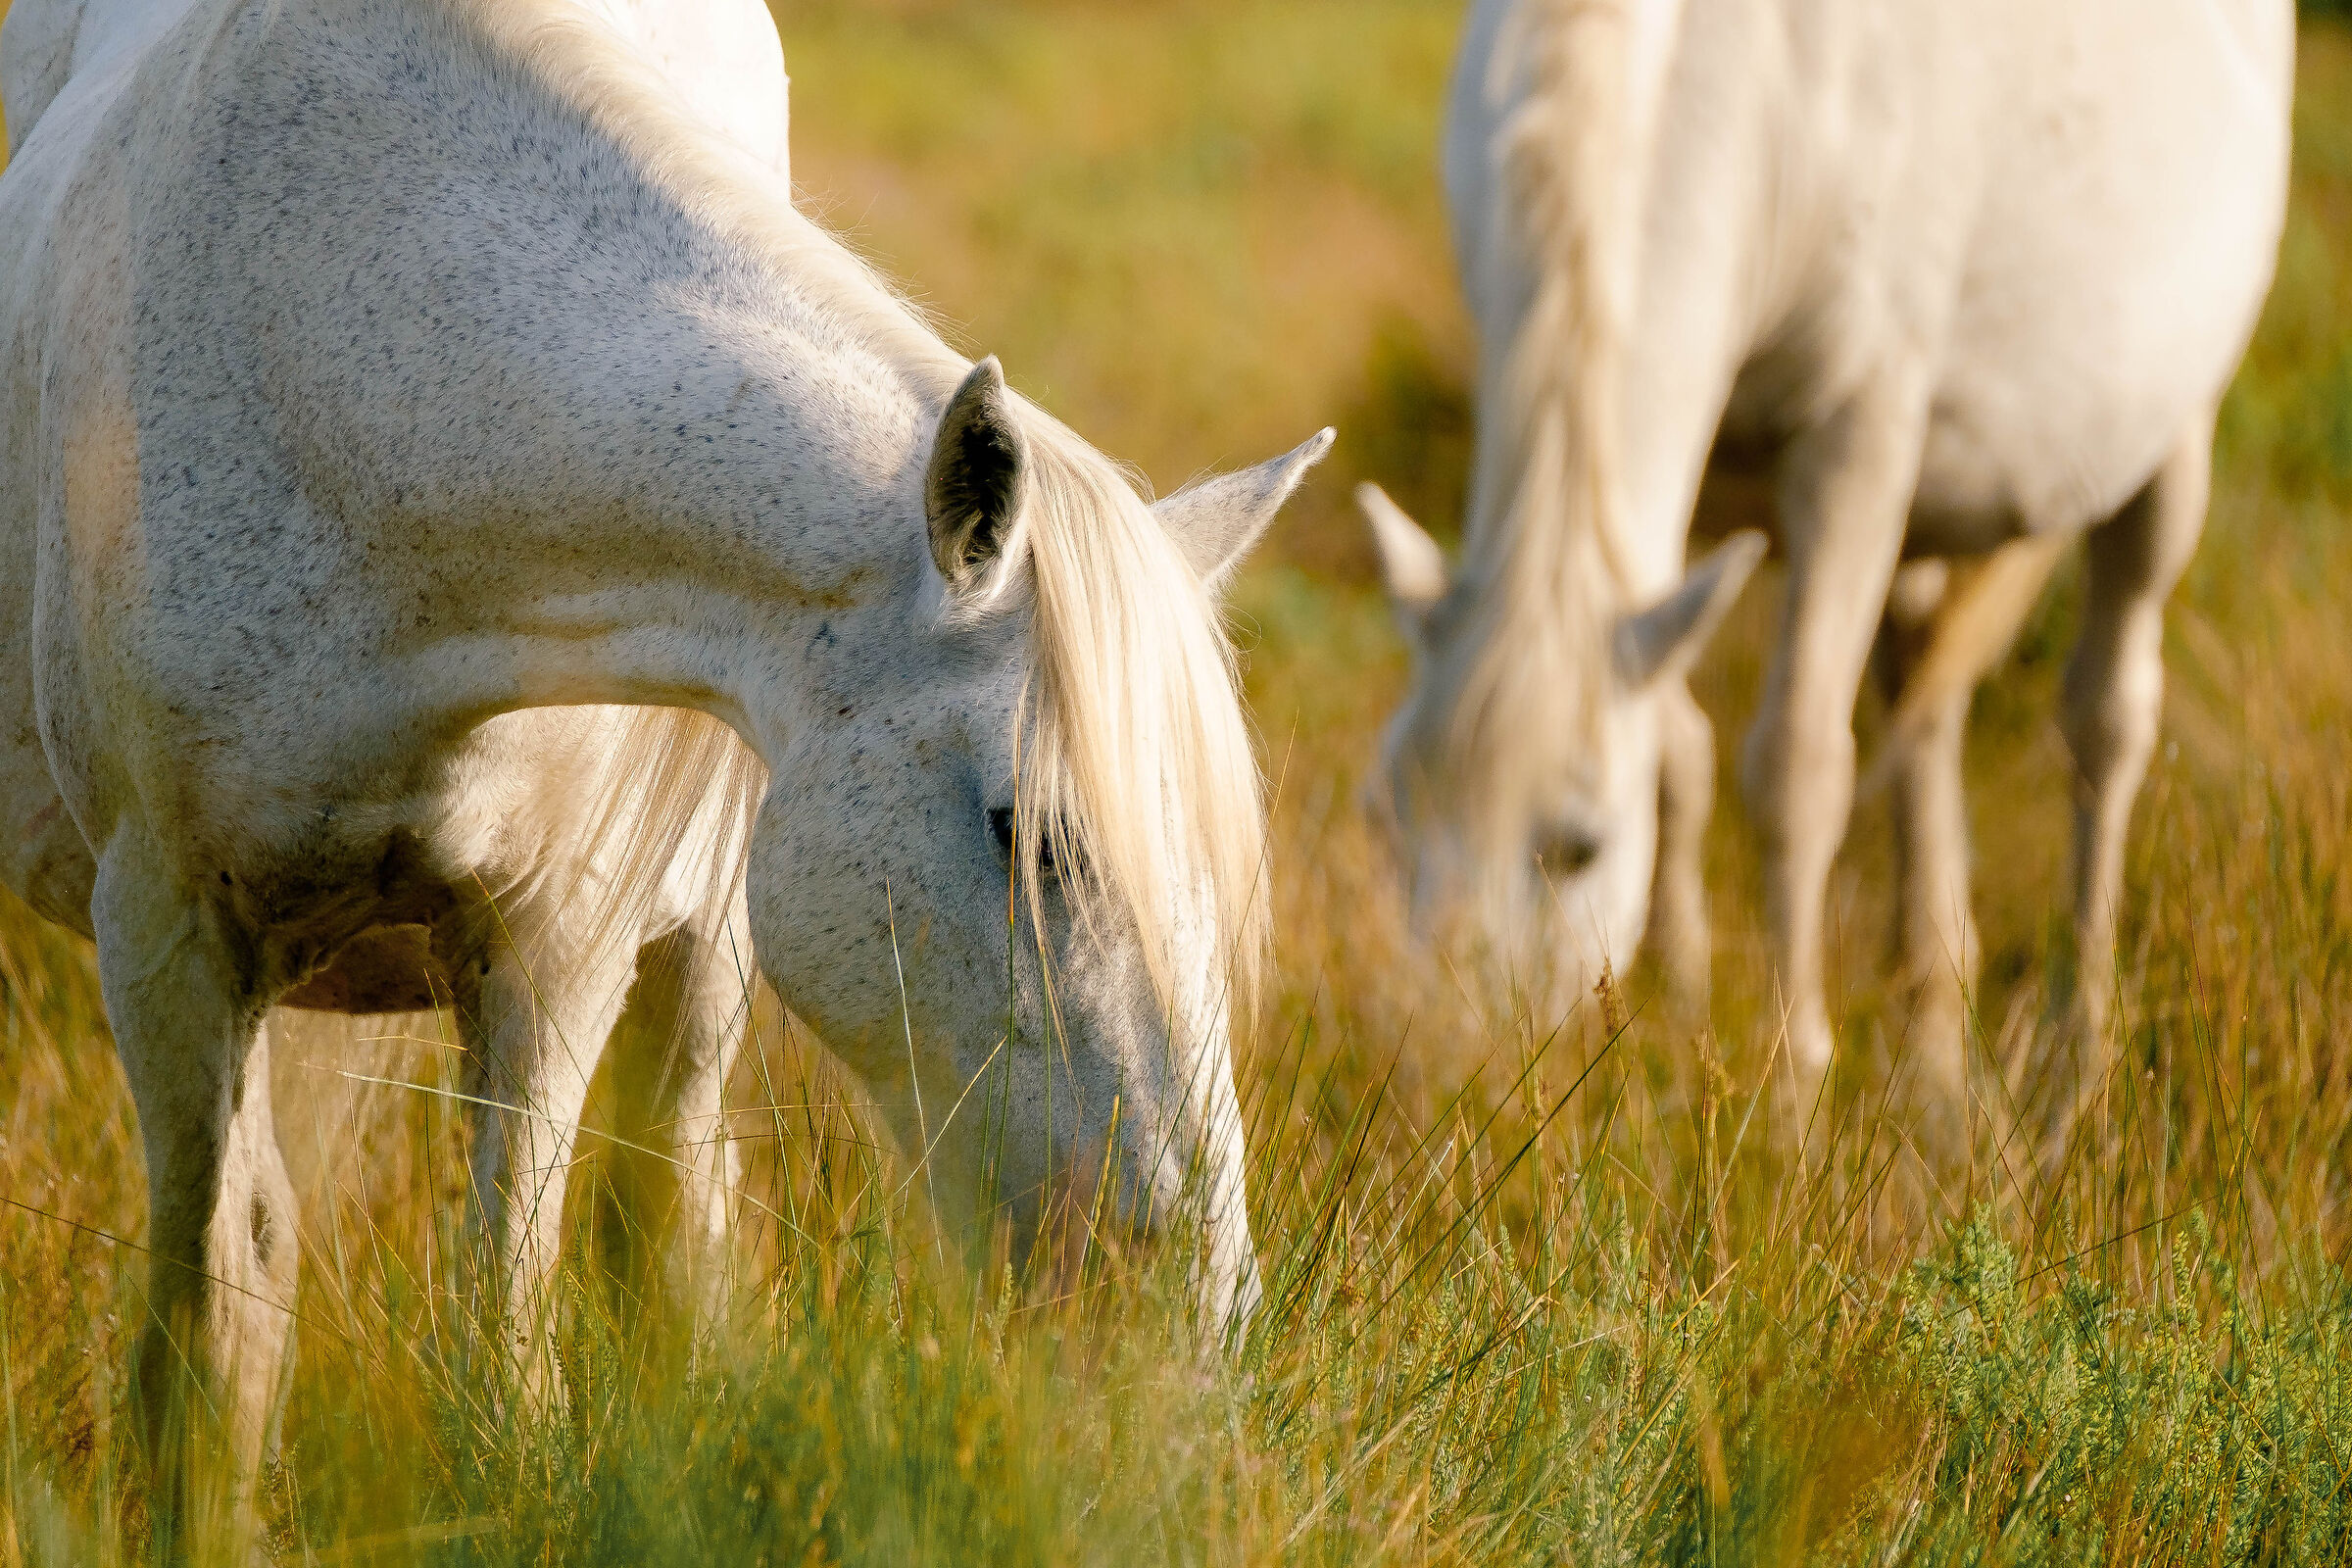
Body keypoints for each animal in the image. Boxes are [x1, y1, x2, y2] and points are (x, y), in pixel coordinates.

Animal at [0, 0, 1327, 1544]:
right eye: (1030, 835)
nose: (1185, 1303)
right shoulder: (168, 937)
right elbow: (219, 1311)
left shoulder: (553, 942)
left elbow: (505, 1328)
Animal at [1358, 0, 2292, 1114]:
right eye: (1385, 816)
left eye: (1578, 848)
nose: (1448, 1086)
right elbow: (1681, 753)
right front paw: (1678, 999)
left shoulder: (1857, 449)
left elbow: (1795, 767)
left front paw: (1792, 1076)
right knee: (1922, 705)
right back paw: (1934, 1038)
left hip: (2171, 442)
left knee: (2104, 724)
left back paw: (2079, 1052)